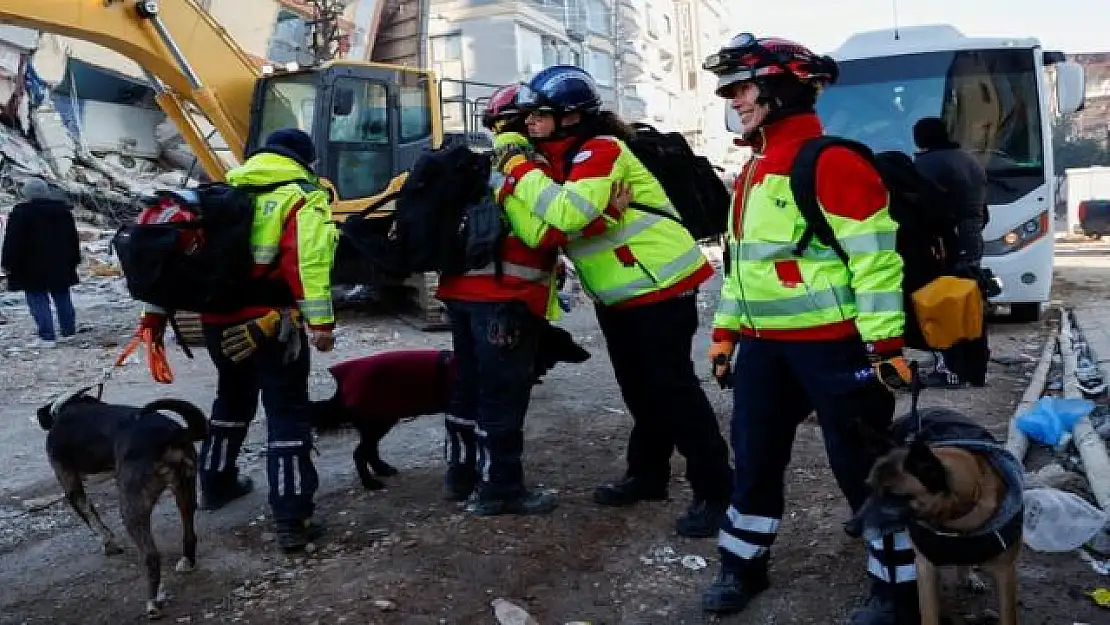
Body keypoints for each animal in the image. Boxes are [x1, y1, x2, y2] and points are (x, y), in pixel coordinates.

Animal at [37, 388, 209, 617]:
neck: (69, 405)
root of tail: (172, 434)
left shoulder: (71, 486)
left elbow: (93, 518)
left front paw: (109, 544)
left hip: (131, 506)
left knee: (151, 556)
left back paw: (153, 602)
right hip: (185, 489)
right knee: (189, 533)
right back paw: (187, 562)